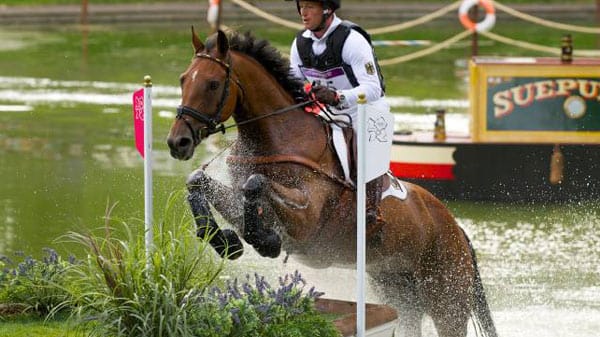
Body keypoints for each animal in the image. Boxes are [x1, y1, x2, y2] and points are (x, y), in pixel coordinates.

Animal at [166, 28, 500, 336]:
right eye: (183, 79)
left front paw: (265, 240)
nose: (177, 142)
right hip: (399, 293)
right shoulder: (238, 198)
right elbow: (199, 180)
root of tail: (457, 229)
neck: (278, 137)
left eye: (212, 83)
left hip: (447, 301)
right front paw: (223, 239)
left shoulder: (308, 219)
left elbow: (256, 184)